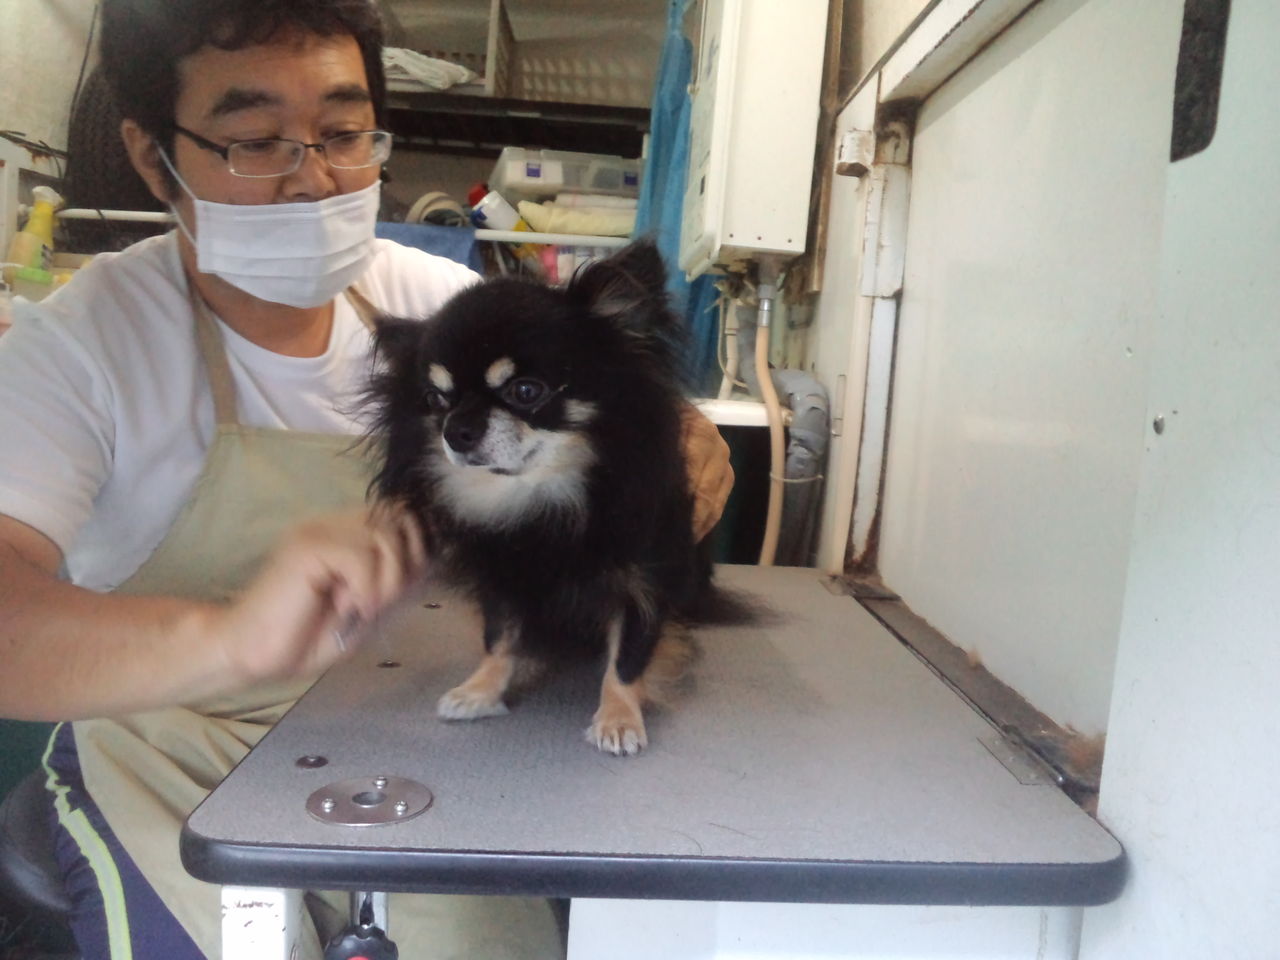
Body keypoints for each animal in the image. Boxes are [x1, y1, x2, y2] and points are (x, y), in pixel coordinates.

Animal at [366, 240, 735, 756]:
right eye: (436, 400)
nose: (455, 430)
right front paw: (482, 690)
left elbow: (628, 657)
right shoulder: (502, 580)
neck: (542, 498)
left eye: (526, 390)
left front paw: (618, 718)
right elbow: (499, 639)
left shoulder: (644, 581)